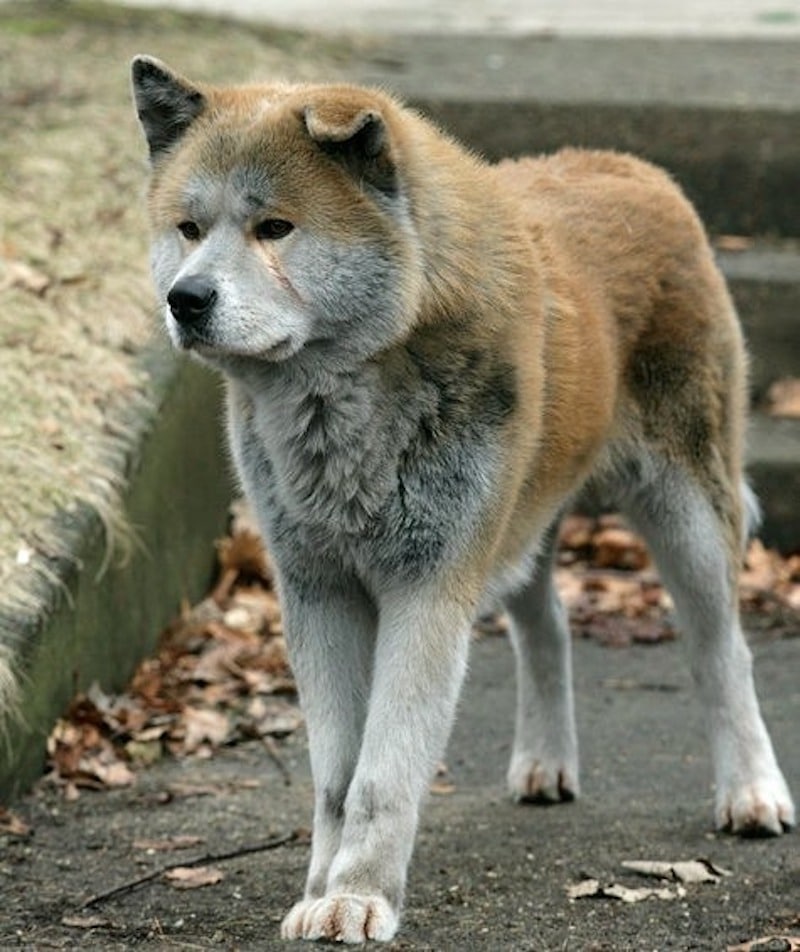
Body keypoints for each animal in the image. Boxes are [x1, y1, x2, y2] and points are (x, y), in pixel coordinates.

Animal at [133, 59, 792, 944]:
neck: (348, 393)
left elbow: (381, 776)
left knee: (722, 653)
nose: (187, 298)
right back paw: (546, 761)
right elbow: (337, 778)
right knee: (548, 626)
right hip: (520, 523)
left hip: (685, 517)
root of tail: (633, 168)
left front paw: (359, 896)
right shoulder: (319, 590)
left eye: (274, 228)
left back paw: (750, 792)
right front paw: (321, 891)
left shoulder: (428, 591)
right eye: (189, 228)